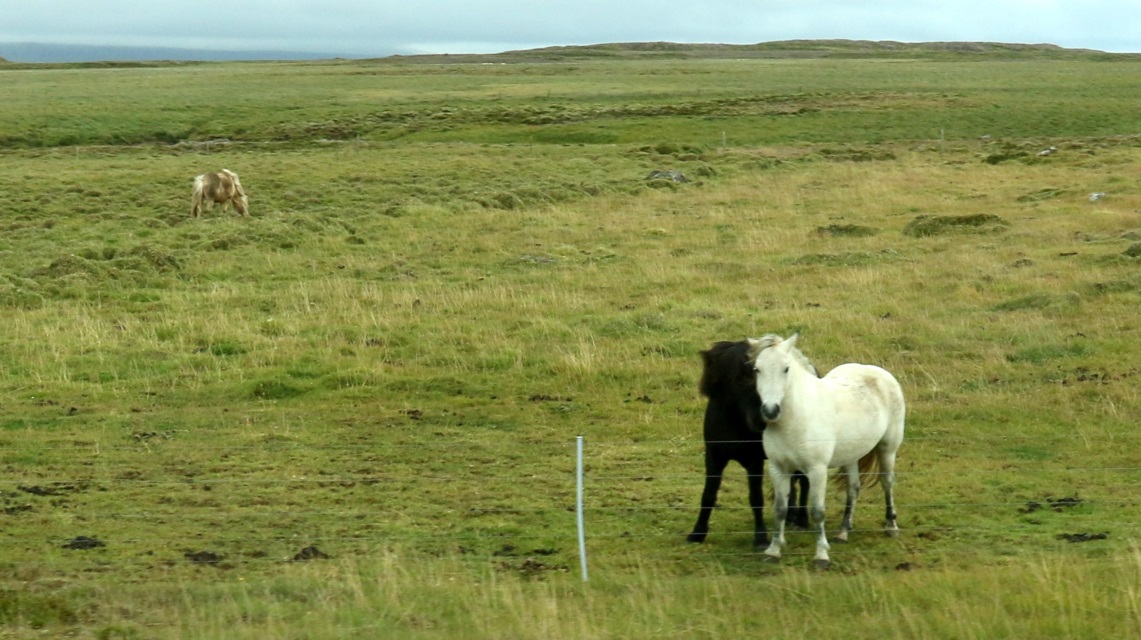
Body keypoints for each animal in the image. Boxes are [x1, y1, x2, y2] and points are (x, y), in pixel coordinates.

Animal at [687, 339, 810, 549]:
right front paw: (698, 533)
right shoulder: (713, 458)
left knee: (804, 480)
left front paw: (760, 538)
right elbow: (708, 495)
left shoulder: (754, 461)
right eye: (737, 380)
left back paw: (802, 520)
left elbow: (756, 497)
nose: (765, 417)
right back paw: (790, 516)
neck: (734, 423)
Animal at [749, 333, 904, 569]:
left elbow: (818, 511)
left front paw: (821, 556)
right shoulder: (778, 469)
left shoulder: (816, 470)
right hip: (851, 456)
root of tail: (877, 371)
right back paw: (843, 532)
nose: (770, 411)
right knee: (853, 489)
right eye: (757, 369)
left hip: (888, 448)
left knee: (887, 483)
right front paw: (773, 551)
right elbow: (780, 509)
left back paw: (891, 526)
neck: (794, 419)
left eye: (786, 369)